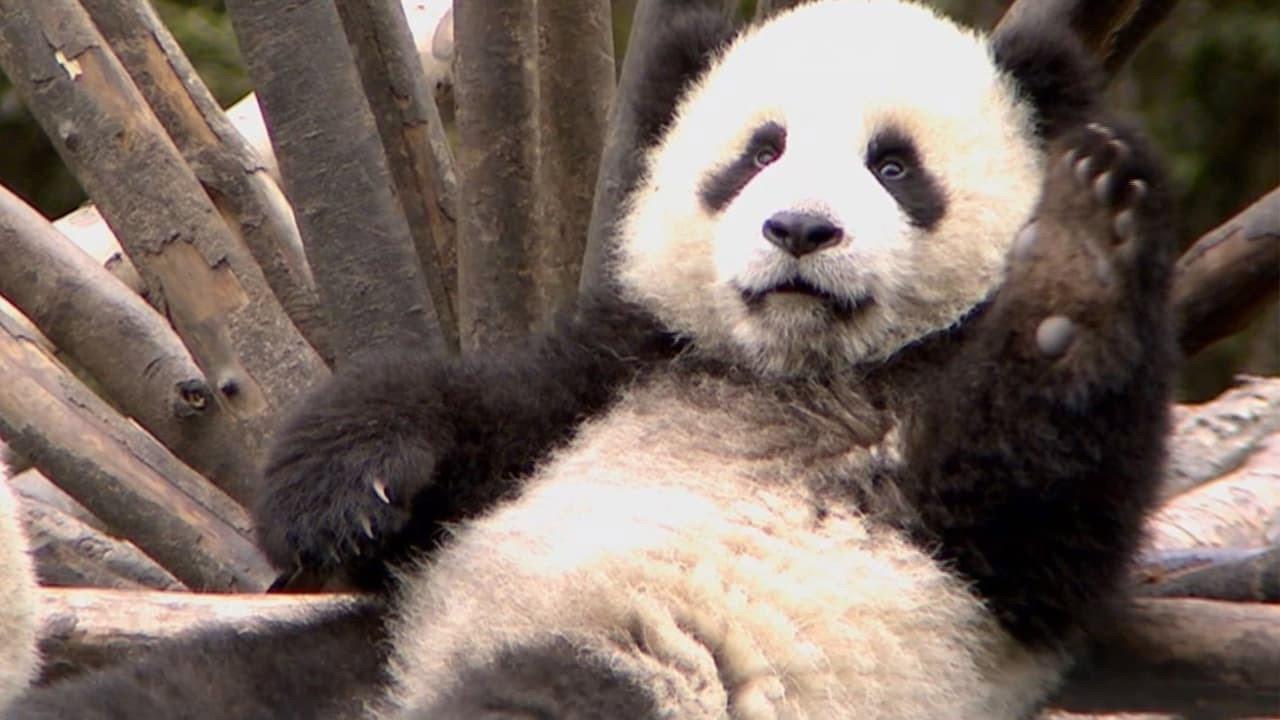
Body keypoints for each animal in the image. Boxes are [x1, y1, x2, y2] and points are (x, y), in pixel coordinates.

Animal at [7, 0, 1175, 718]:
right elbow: (472, 414)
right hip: (363, 644)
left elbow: (1032, 511)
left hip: (642, 670)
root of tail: (404, 690)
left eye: (894, 166)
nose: (799, 229)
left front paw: (1076, 270)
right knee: (185, 690)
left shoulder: (971, 541)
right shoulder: (627, 361)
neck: (803, 370)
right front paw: (342, 493)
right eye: (757, 152)